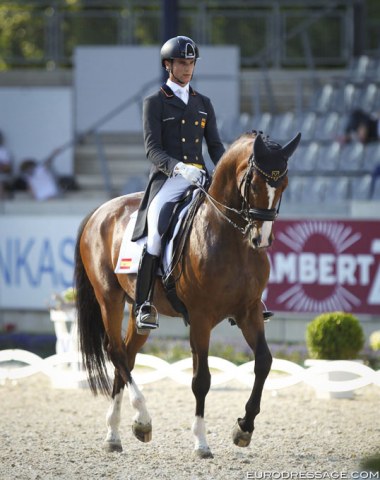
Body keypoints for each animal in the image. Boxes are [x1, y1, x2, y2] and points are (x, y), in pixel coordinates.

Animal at [73, 129, 300, 460]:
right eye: (255, 183)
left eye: (283, 184)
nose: (262, 240)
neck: (231, 237)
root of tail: (100, 211)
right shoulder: (201, 318)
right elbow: (201, 379)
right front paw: (201, 442)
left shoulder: (249, 312)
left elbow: (264, 362)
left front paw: (243, 428)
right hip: (109, 298)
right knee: (115, 352)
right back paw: (142, 419)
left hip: (139, 311)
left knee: (126, 356)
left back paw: (116, 434)